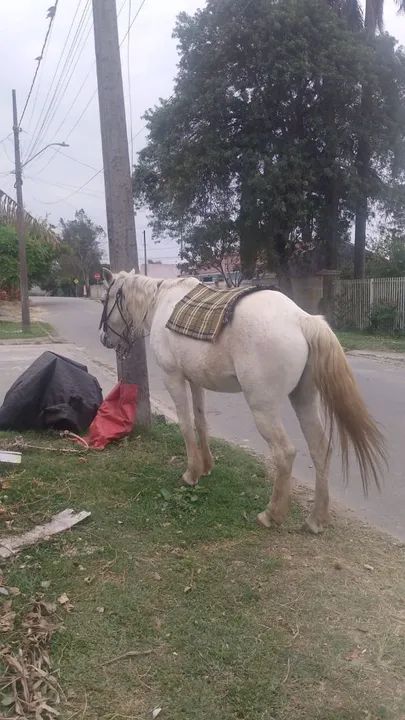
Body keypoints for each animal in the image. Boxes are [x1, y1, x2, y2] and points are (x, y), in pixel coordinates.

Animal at [99, 268, 385, 534]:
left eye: (105, 298)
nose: (104, 338)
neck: (162, 302)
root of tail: (302, 320)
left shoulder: (174, 378)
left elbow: (186, 425)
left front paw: (191, 474)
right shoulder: (195, 381)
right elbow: (201, 422)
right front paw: (206, 467)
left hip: (263, 408)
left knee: (285, 453)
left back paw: (272, 515)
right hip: (304, 399)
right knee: (320, 448)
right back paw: (316, 520)